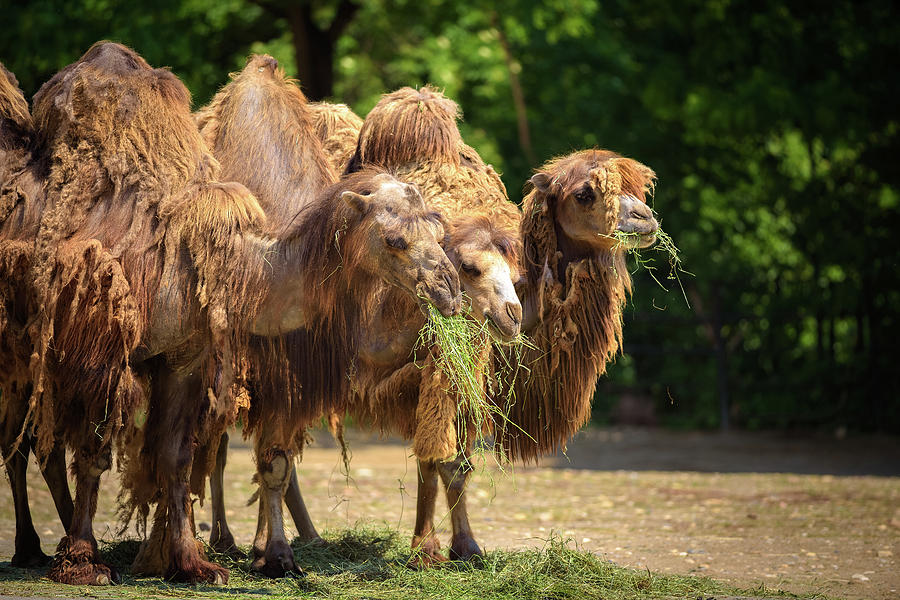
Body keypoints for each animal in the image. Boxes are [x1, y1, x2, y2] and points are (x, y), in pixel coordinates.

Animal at [3, 43, 460, 584]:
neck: (213, 258)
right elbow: (94, 455)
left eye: (438, 226)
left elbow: (175, 458)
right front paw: (82, 562)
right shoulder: (100, 347)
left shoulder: (185, 357)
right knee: (27, 445)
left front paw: (193, 564)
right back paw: (35, 549)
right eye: (394, 240)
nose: (450, 289)